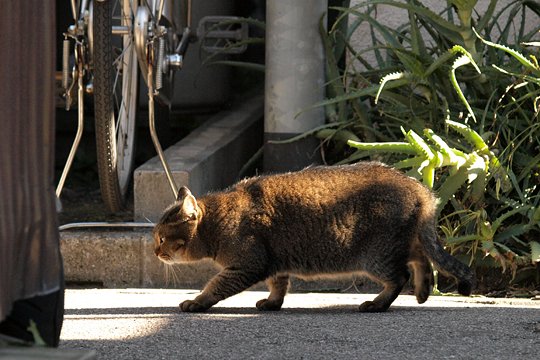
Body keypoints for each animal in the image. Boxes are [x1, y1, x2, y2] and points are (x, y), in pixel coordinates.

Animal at [152, 162, 472, 312]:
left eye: (161, 239)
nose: (154, 252)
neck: (219, 219)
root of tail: (420, 189)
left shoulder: (247, 264)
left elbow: (215, 286)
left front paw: (197, 301)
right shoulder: (274, 262)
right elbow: (279, 285)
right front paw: (272, 303)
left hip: (377, 255)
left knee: (401, 275)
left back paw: (378, 303)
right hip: (401, 242)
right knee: (422, 260)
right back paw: (422, 292)